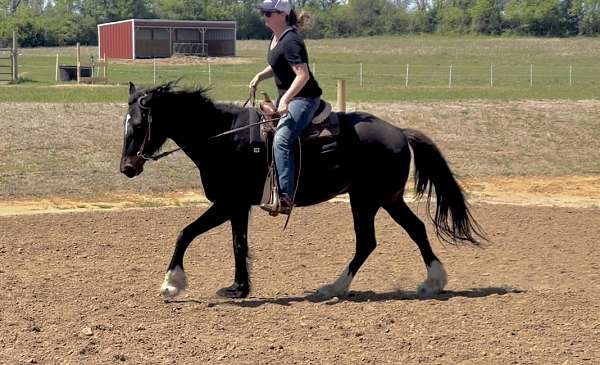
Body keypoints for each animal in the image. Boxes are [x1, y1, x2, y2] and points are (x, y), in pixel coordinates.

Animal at [119, 82, 486, 298]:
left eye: (137, 125)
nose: (127, 168)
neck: (225, 138)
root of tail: (399, 131)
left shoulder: (227, 203)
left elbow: (186, 233)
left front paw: (171, 283)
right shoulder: (238, 207)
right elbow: (238, 244)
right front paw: (238, 287)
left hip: (366, 199)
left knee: (367, 241)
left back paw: (333, 287)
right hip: (388, 198)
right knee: (416, 229)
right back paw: (433, 281)